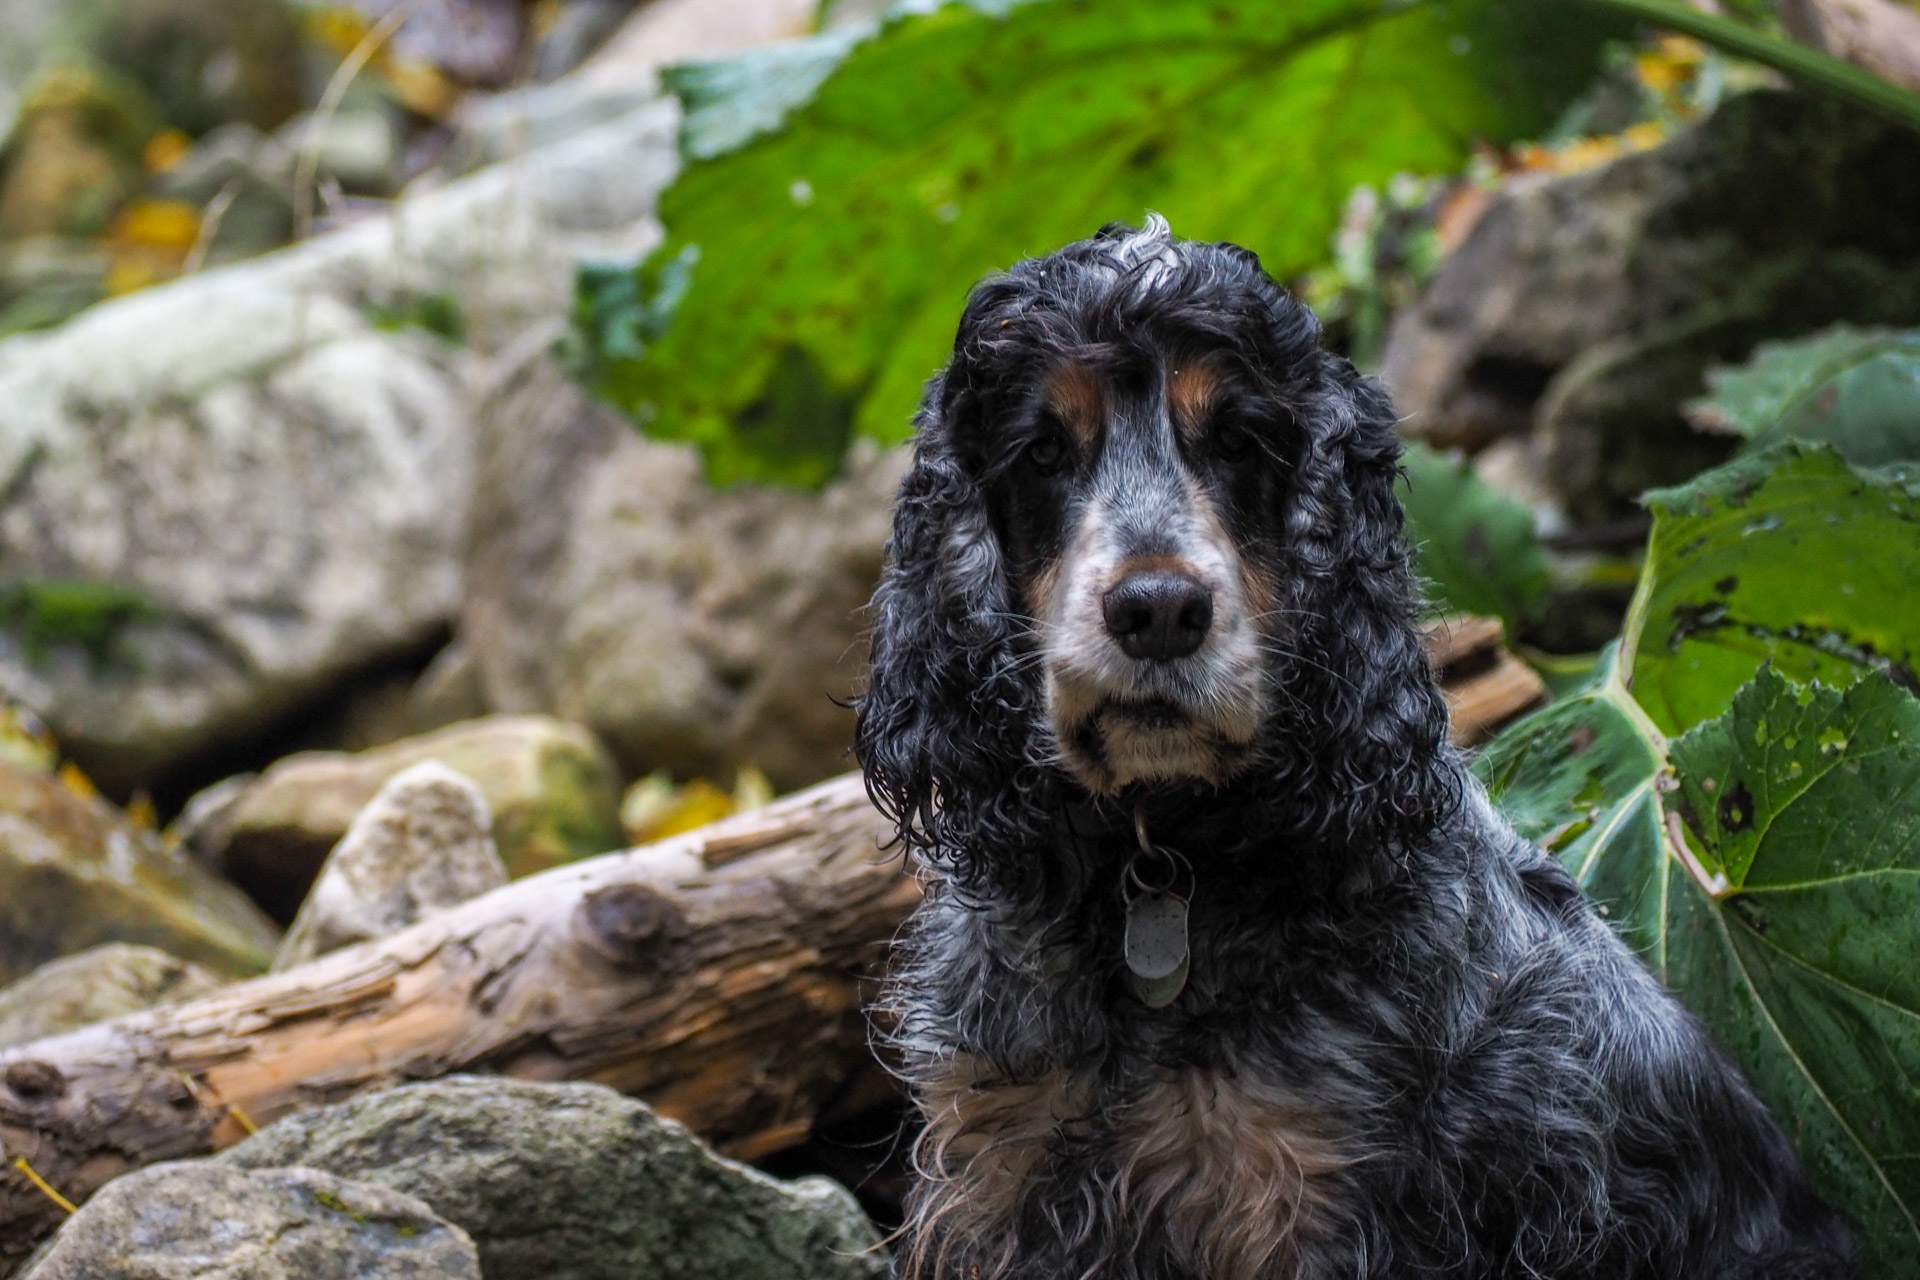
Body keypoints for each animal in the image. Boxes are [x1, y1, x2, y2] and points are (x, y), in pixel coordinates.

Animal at [856, 220, 1858, 1280]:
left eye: (1241, 441)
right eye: (1043, 450)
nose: (1158, 611)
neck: (1157, 868)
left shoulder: (1314, 1197)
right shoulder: (1008, 1165)